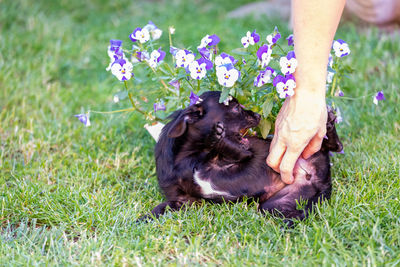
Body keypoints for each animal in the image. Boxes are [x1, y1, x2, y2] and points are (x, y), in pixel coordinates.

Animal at [148, 91, 342, 221]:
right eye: (235, 108)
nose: (257, 114)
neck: (186, 160)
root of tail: (322, 180)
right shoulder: (183, 200)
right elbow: (159, 208)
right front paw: (144, 219)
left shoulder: (239, 156)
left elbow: (229, 149)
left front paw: (216, 137)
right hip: (277, 204)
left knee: (334, 146)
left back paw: (329, 123)